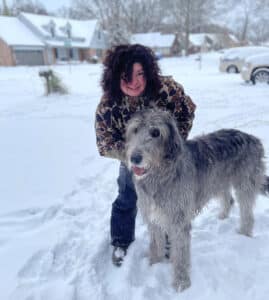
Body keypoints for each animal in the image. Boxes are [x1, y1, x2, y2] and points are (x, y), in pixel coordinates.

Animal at [124, 109, 266, 292]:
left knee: (247, 213)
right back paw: (223, 216)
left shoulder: (178, 220)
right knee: (228, 198)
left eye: (155, 132)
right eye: (134, 130)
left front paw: (181, 283)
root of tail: (254, 139)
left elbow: (180, 253)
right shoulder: (152, 216)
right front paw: (153, 265)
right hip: (217, 180)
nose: (134, 158)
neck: (160, 173)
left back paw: (244, 235)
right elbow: (156, 243)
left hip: (245, 184)